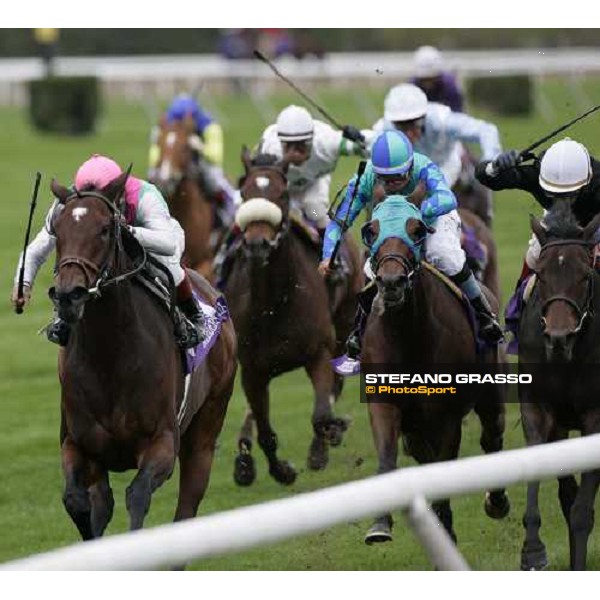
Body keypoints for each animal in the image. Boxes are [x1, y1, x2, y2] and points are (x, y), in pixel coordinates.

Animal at [49, 172, 237, 544]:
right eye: (57, 229)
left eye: (105, 229)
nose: (68, 296)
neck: (109, 356)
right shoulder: (77, 443)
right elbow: (76, 501)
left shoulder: (161, 442)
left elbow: (137, 496)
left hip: (206, 429)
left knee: (187, 504)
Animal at [221, 151, 358, 488]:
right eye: (244, 192)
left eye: (282, 194)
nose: (257, 244)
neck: (274, 304)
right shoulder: (253, 371)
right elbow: (265, 433)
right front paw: (279, 470)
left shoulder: (319, 352)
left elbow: (321, 415)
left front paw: (322, 446)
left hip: (344, 326)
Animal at [360, 200, 506, 544]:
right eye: (372, 230)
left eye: (416, 230)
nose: (391, 282)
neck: (408, 336)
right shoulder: (384, 403)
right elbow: (388, 455)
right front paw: (379, 524)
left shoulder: (447, 416)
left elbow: (443, 469)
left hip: (490, 393)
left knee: (492, 435)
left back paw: (496, 501)